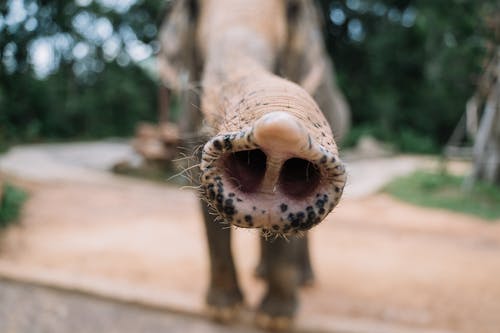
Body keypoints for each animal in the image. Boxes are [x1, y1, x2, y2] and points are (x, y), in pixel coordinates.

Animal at [158, 0, 350, 326]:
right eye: (192, 8)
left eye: (294, 10)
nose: (279, 138)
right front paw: (223, 311)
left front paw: (275, 320)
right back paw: (260, 273)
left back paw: (304, 280)